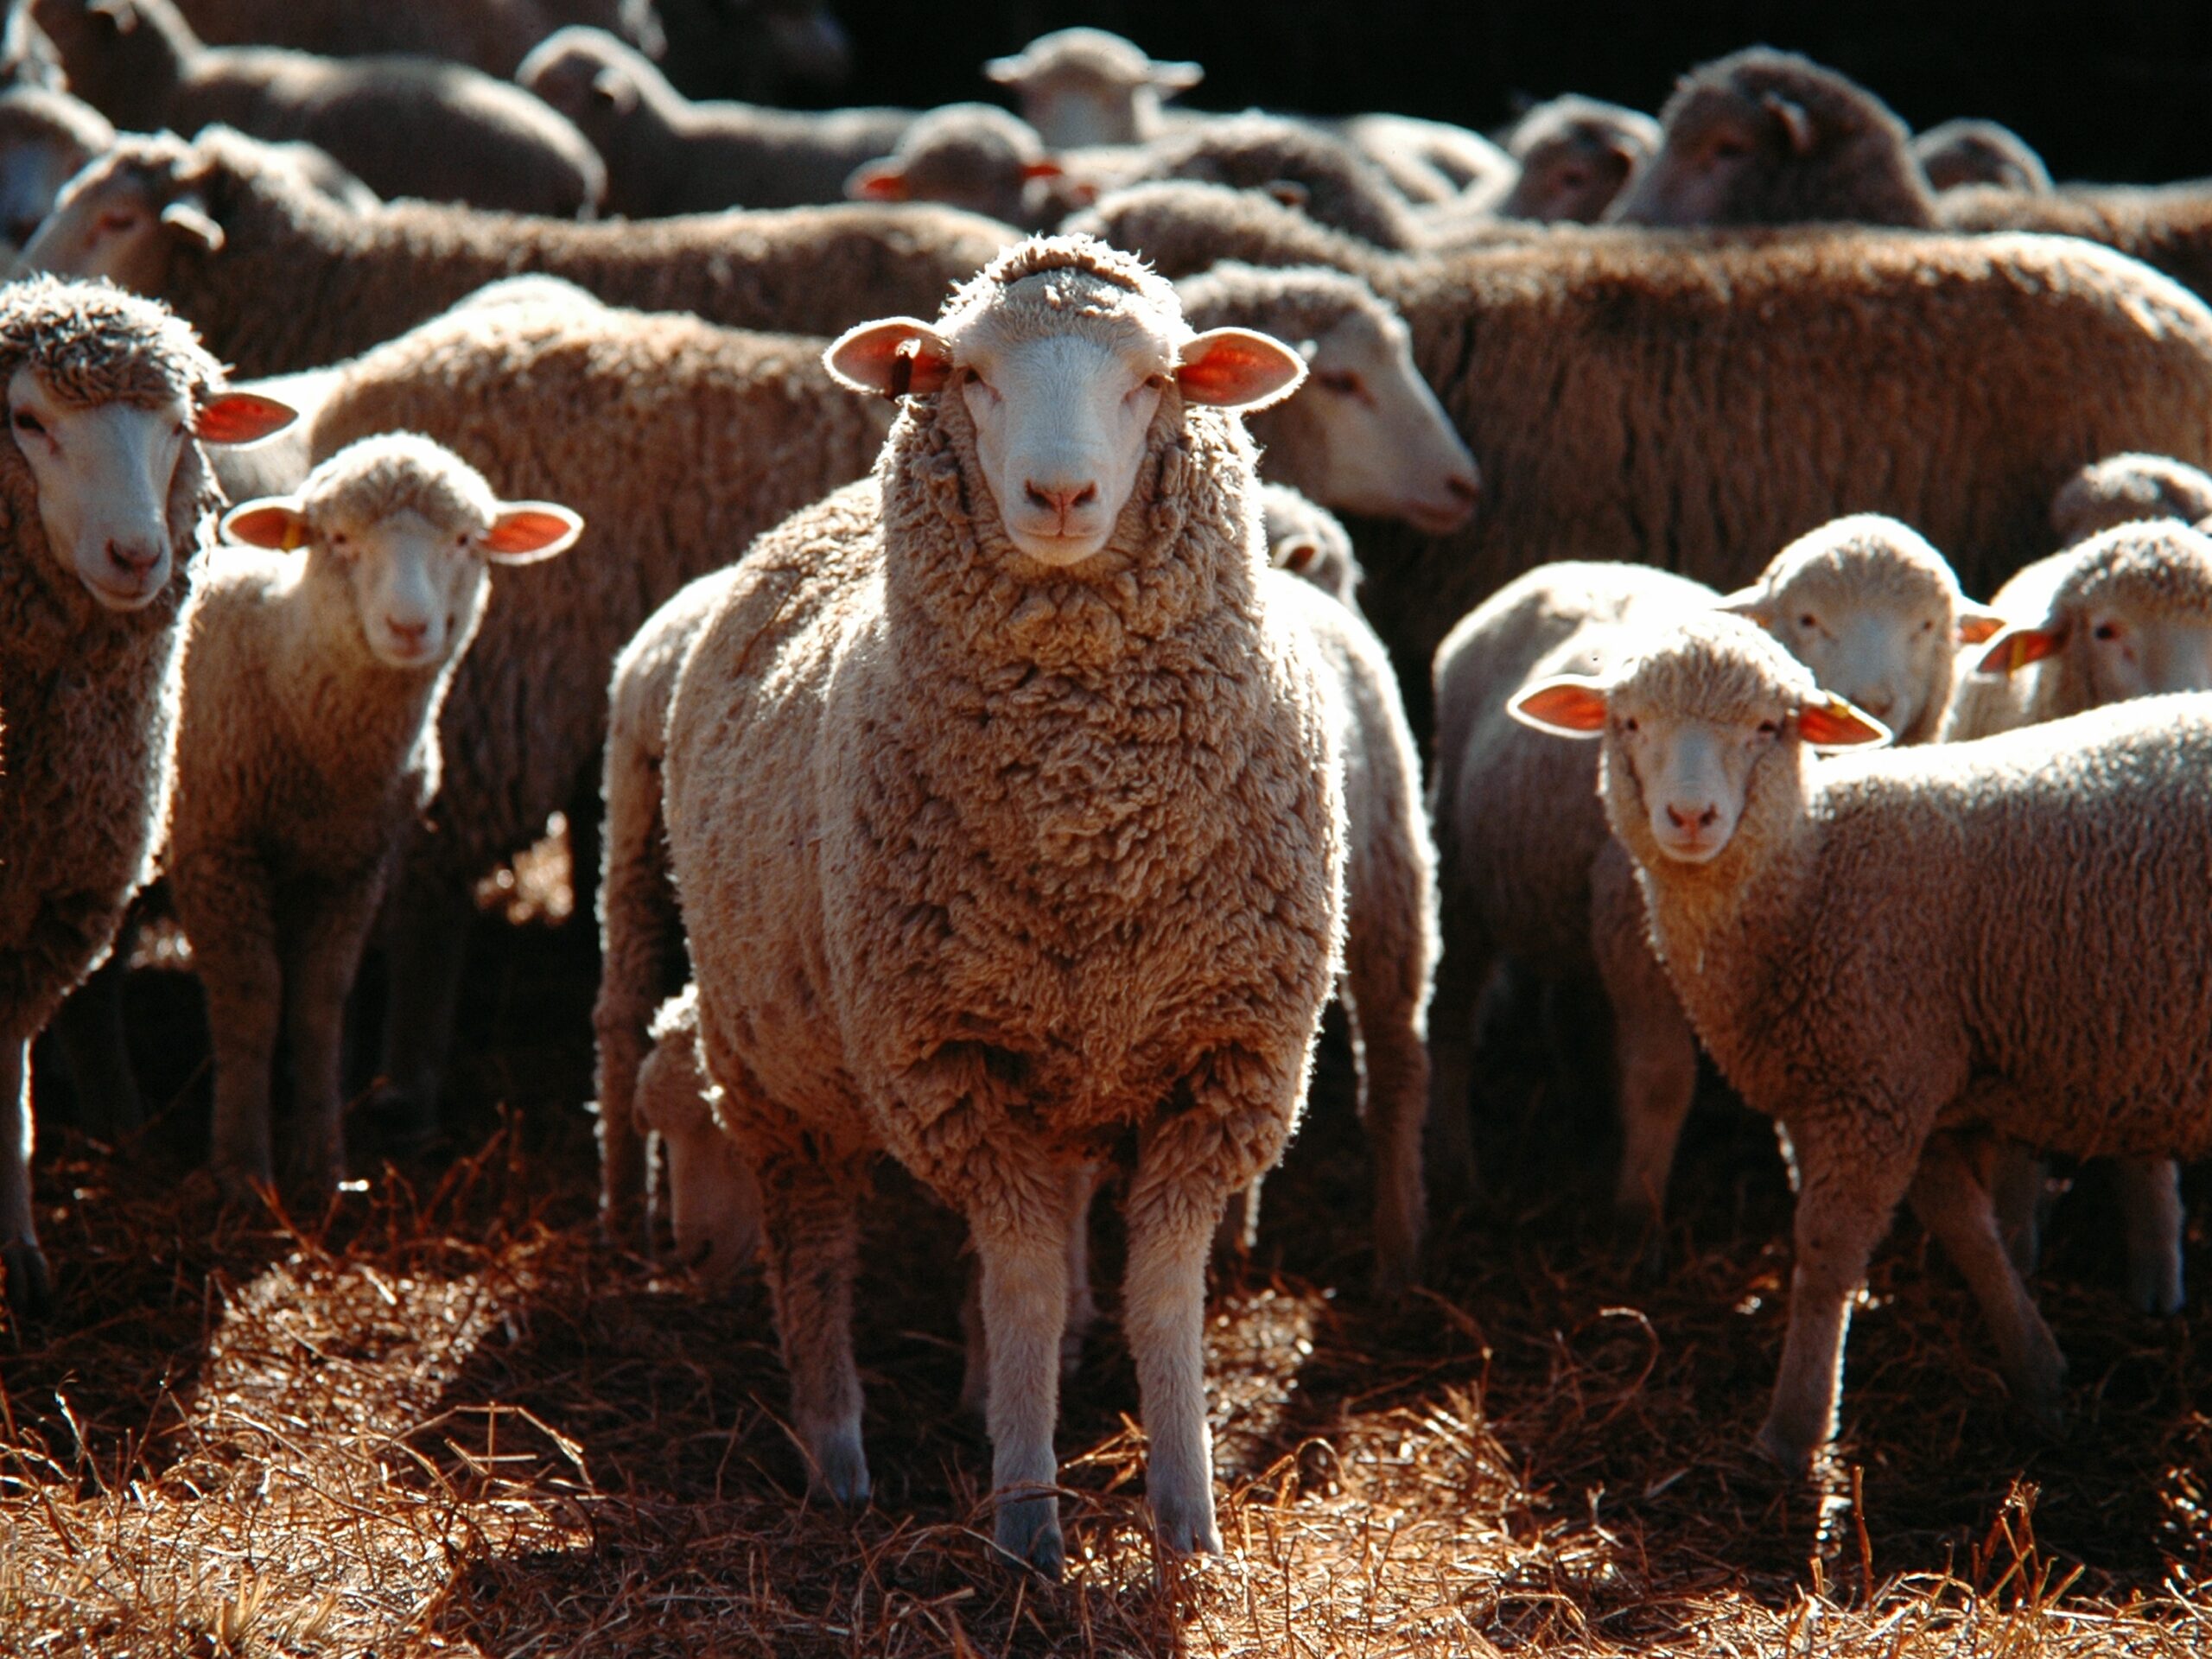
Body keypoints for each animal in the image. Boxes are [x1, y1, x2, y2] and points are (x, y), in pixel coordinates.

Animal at [0, 277, 294, 1310]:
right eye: (27, 421)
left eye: (179, 426)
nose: (137, 556)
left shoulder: (57, 903)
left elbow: (8, 1082)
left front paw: (20, 1255)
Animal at [165, 434, 579, 1202]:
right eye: (337, 539)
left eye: (464, 540)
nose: (409, 627)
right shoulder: (216, 846)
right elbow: (251, 1001)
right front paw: (242, 1171)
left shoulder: (356, 862)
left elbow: (320, 1001)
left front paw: (323, 1167)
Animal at [659, 236, 1337, 1571]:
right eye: (969, 374)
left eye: (1153, 378)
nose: (1062, 496)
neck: (1090, 822)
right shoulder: (950, 1060)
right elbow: (1021, 1282)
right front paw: (1027, 1524)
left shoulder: (1226, 1059)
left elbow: (1159, 1294)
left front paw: (1187, 1521)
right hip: (775, 1070)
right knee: (813, 1256)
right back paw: (840, 1459)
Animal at [1509, 618, 2212, 1472]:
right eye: (1630, 723)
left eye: (1768, 727)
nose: (1691, 816)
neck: (1815, 867)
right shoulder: (1894, 1077)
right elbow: (1966, 1228)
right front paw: (2039, 1373)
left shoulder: (1871, 1085)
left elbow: (1826, 1253)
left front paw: (1794, 1432)